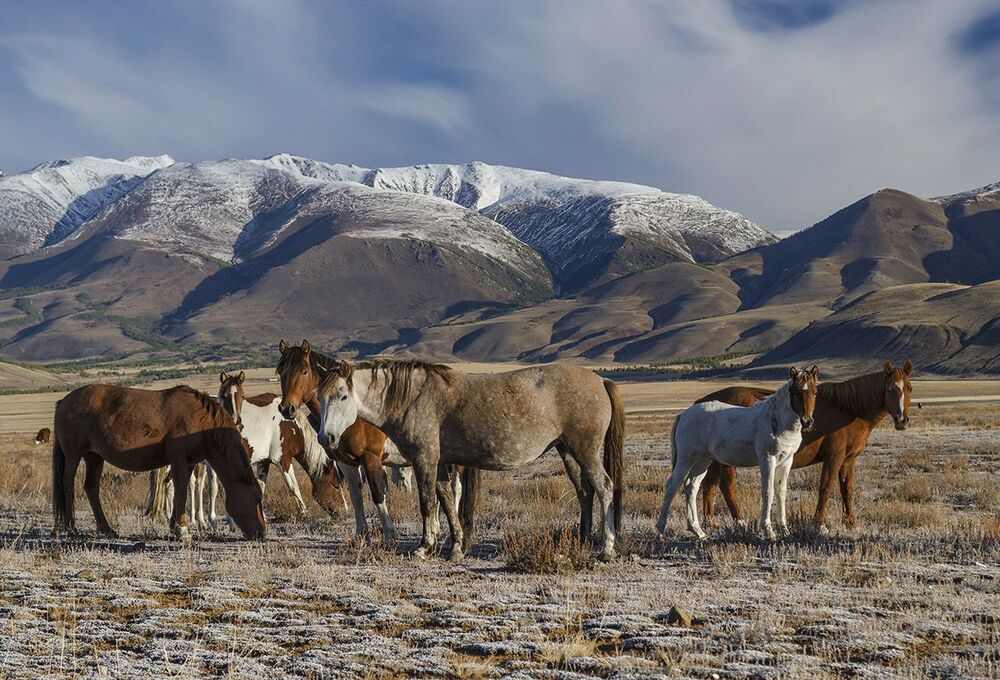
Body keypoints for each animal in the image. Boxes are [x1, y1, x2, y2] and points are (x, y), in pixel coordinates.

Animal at [52, 384, 265, 540]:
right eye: (256, 498)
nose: (261, 533)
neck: (200, 422)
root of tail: (64, 401)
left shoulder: (188, 463)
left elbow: (180, 492)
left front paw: (174, 526)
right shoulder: (179, 461)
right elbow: (180, 491)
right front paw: (182, 530)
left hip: (94, 457)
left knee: (91, 488)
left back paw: (106, 529)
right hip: (73, 454)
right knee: (67, 484)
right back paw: (71, 528)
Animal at [276, 340, 479, 548]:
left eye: (304, 371)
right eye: (281, 371)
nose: (286, 408)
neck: (354, 416)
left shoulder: (371, 458)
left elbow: (378, 494)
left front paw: (389, 534)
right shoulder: (346, 462)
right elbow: (356, 497)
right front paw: (361, 536)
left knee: (456, 488)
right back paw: (438, 529)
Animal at [316, 358, 625, 562]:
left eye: (343, 396)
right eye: (321, 396)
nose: (325, 437)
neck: (414, 397)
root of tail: (600, 380)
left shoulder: (424, 459)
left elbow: (427, 503)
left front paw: (424, 547)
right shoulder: (440, 462)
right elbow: (446, 500)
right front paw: (455, 547)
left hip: (585, 451)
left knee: (604, 488)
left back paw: (607, 548)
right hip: (568, 451)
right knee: (584, 492)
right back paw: (583, 540)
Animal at [657, 367, 819, 541]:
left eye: (815, 392)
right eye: (795, 392)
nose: (807, 421)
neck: (777, 421)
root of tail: (683, 415)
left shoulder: (786, 461)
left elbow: (781, 492)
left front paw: (785, 530)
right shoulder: (768, 460)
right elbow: (768, 492)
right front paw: (768, 531)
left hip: (703, 460)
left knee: (691, 487)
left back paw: (698, 531)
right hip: (686, 459)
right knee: (672, 487)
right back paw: (660, 530)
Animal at [698, 360, 915, 534]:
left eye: (909, 388)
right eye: (890, 389)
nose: (902, 420)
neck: (848, 409)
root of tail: (704, 401)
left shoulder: (848, 460)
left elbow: (847, 489)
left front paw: (851, 523)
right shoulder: (834, 457)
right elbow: (826, 487)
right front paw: (819, 525)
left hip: (715, 460)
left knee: (709, 486)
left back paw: (711, 524)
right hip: (727, 462)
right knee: (727, 487)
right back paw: (740, 522)